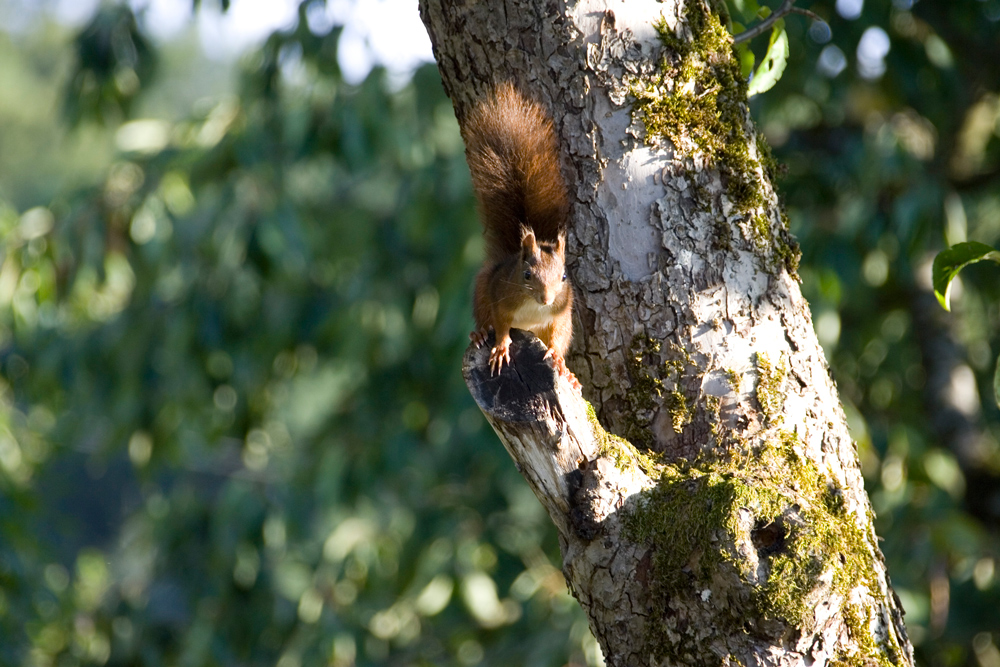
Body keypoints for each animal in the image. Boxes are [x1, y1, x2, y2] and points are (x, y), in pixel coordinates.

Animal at [462, 83, 580, 386]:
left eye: (564, 277)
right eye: (527, 275)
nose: (547, 299)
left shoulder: (561, 313)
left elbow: (559, 336)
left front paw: (558, 358)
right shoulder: (500, 296)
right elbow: (502, 323)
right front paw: (501, 347)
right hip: (483, 289)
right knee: (485, 318)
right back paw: (480, 334)